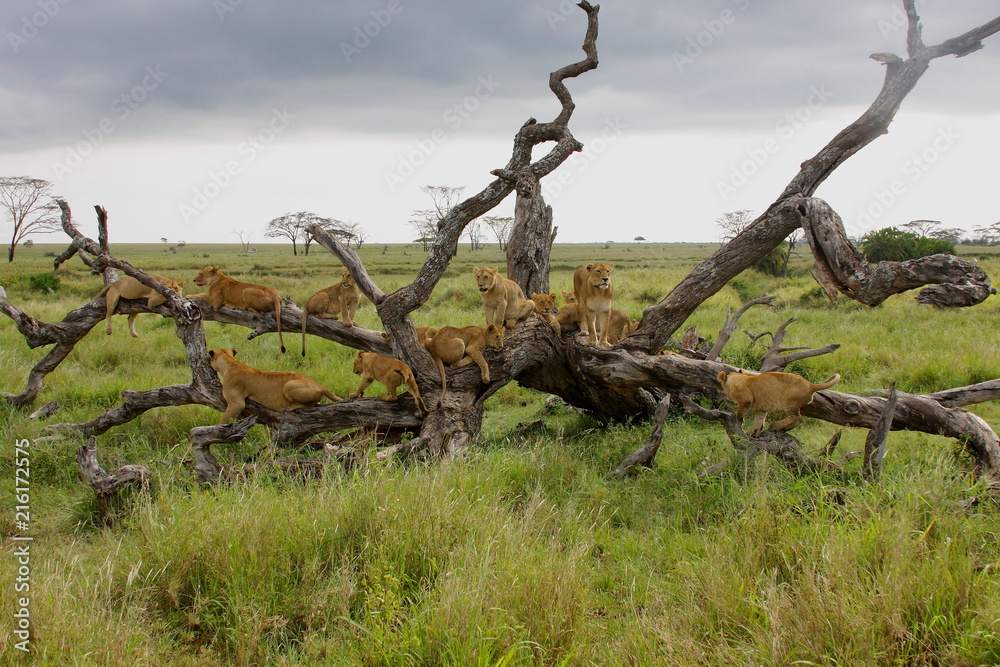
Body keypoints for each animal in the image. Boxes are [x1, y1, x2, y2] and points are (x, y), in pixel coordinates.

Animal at [209, 348, 341, 423]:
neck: (231, 363)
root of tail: (318, 384)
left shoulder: (237, 403)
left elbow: (223, 421)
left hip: (288, 385)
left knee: (311, 404)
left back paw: (291, 407)